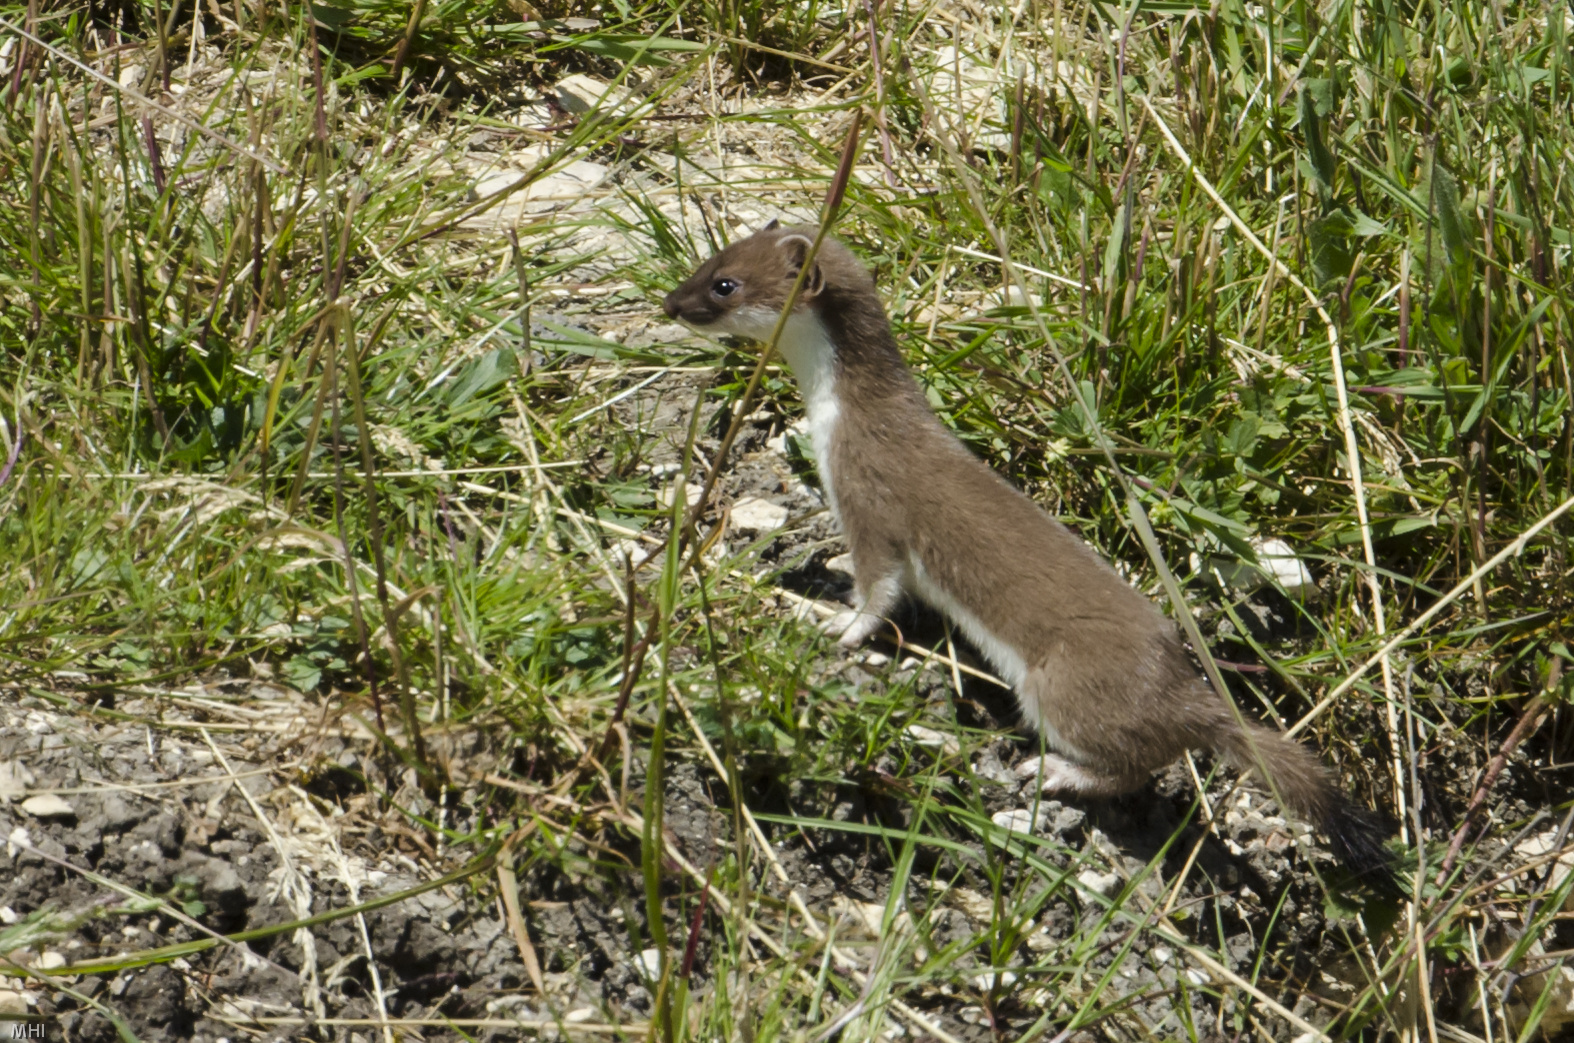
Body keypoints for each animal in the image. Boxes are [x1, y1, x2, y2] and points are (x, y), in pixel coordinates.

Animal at [657, 220, 1397, 887]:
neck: (836, 417)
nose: (669, 303)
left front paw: (831, 623)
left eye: (724, 284)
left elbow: (878, 590)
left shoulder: (871, 500)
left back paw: (1054, 770)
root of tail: (1189, 691)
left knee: (1131, 764)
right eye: (708, 258)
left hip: (1058, 685)